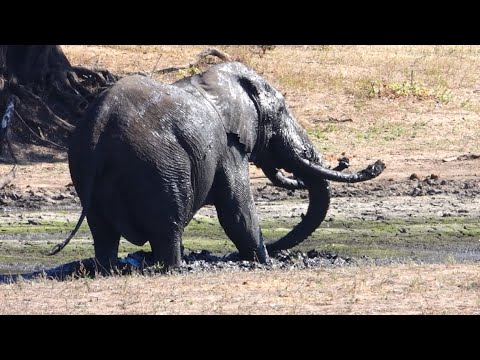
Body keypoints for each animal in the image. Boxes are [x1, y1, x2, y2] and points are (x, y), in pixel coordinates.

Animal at [47, 61, 386, 270]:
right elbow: (237, 209)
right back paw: (175, 267)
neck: (214, 79)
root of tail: (99, 129)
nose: (376, 165)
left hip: (83, 167)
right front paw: (263, 262)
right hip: (158, 166)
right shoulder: (228, 146)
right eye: (280, 112)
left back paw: (110, 269)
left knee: (103, 232)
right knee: (168, 225)